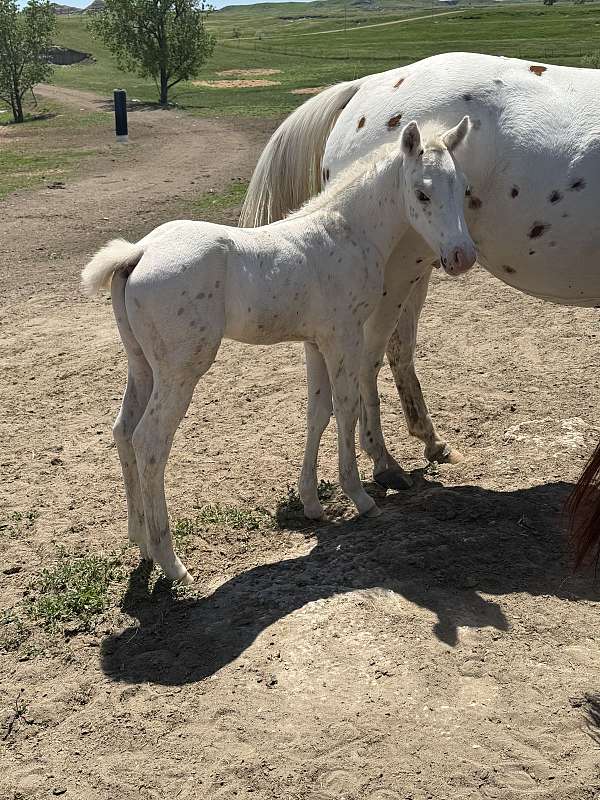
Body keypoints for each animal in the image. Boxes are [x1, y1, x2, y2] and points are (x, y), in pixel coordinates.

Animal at [81, 118, 476, 583]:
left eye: (463, 187)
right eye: (422, 193)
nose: (462, 256)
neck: (347, 231)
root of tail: (139, 251)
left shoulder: (314, 341)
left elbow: (318, 412)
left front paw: (312, 503)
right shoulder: (343, 335)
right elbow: (348, 407)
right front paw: (360, 496)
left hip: (142, 366)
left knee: (123, 431)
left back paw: (140, 542)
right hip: (180, 370)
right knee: (150, 442)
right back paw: (172, 563)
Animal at [241, 52, 600, 491]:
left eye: (463, 189)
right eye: (424, 193)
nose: (464, 255)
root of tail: (362, 87)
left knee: (396, 353)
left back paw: (429, 443)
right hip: (397, 276)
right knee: (371, 359)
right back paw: (384, 460)